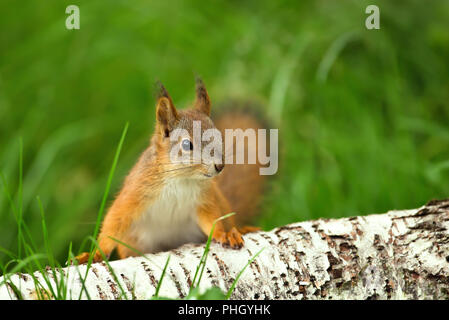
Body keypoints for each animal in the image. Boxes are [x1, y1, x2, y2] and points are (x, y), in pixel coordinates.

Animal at [76, 79, 266, 262]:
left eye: (220, 136)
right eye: (187, 144)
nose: (220, 166)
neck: (180, 178)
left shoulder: (204, 199)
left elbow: (213, 220)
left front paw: (223, 234)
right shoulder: (136, 192)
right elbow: (115, 221)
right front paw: (94, 254)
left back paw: (241, 230)